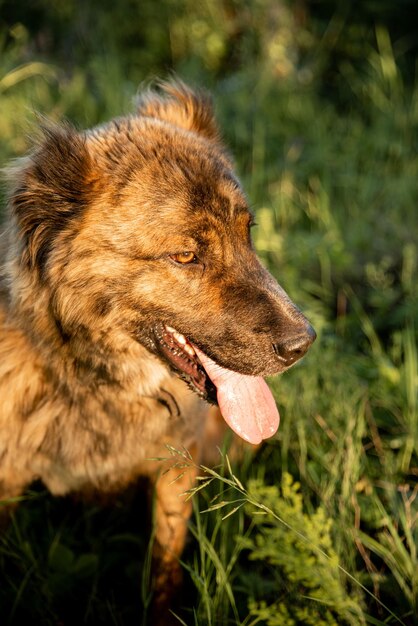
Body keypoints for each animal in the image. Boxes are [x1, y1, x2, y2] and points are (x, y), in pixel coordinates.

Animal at [0, 80, 314, 620]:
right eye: (185, 256)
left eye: (247, 232)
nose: (303, 342)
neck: (95, 381)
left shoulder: (177, 466)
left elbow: (165, 563)